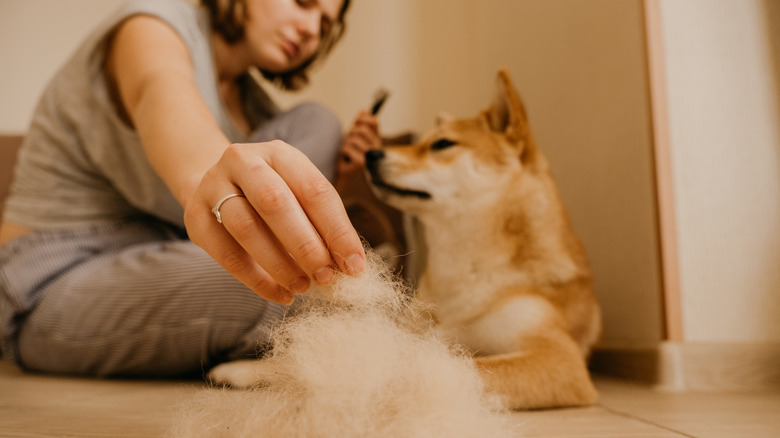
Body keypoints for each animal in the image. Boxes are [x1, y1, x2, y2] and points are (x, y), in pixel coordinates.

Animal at [366, 69, 604, 410]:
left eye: (442, 143)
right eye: (422, 141)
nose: (369, 153)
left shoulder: (557, 358)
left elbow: (462, 368)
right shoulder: (412, 330)